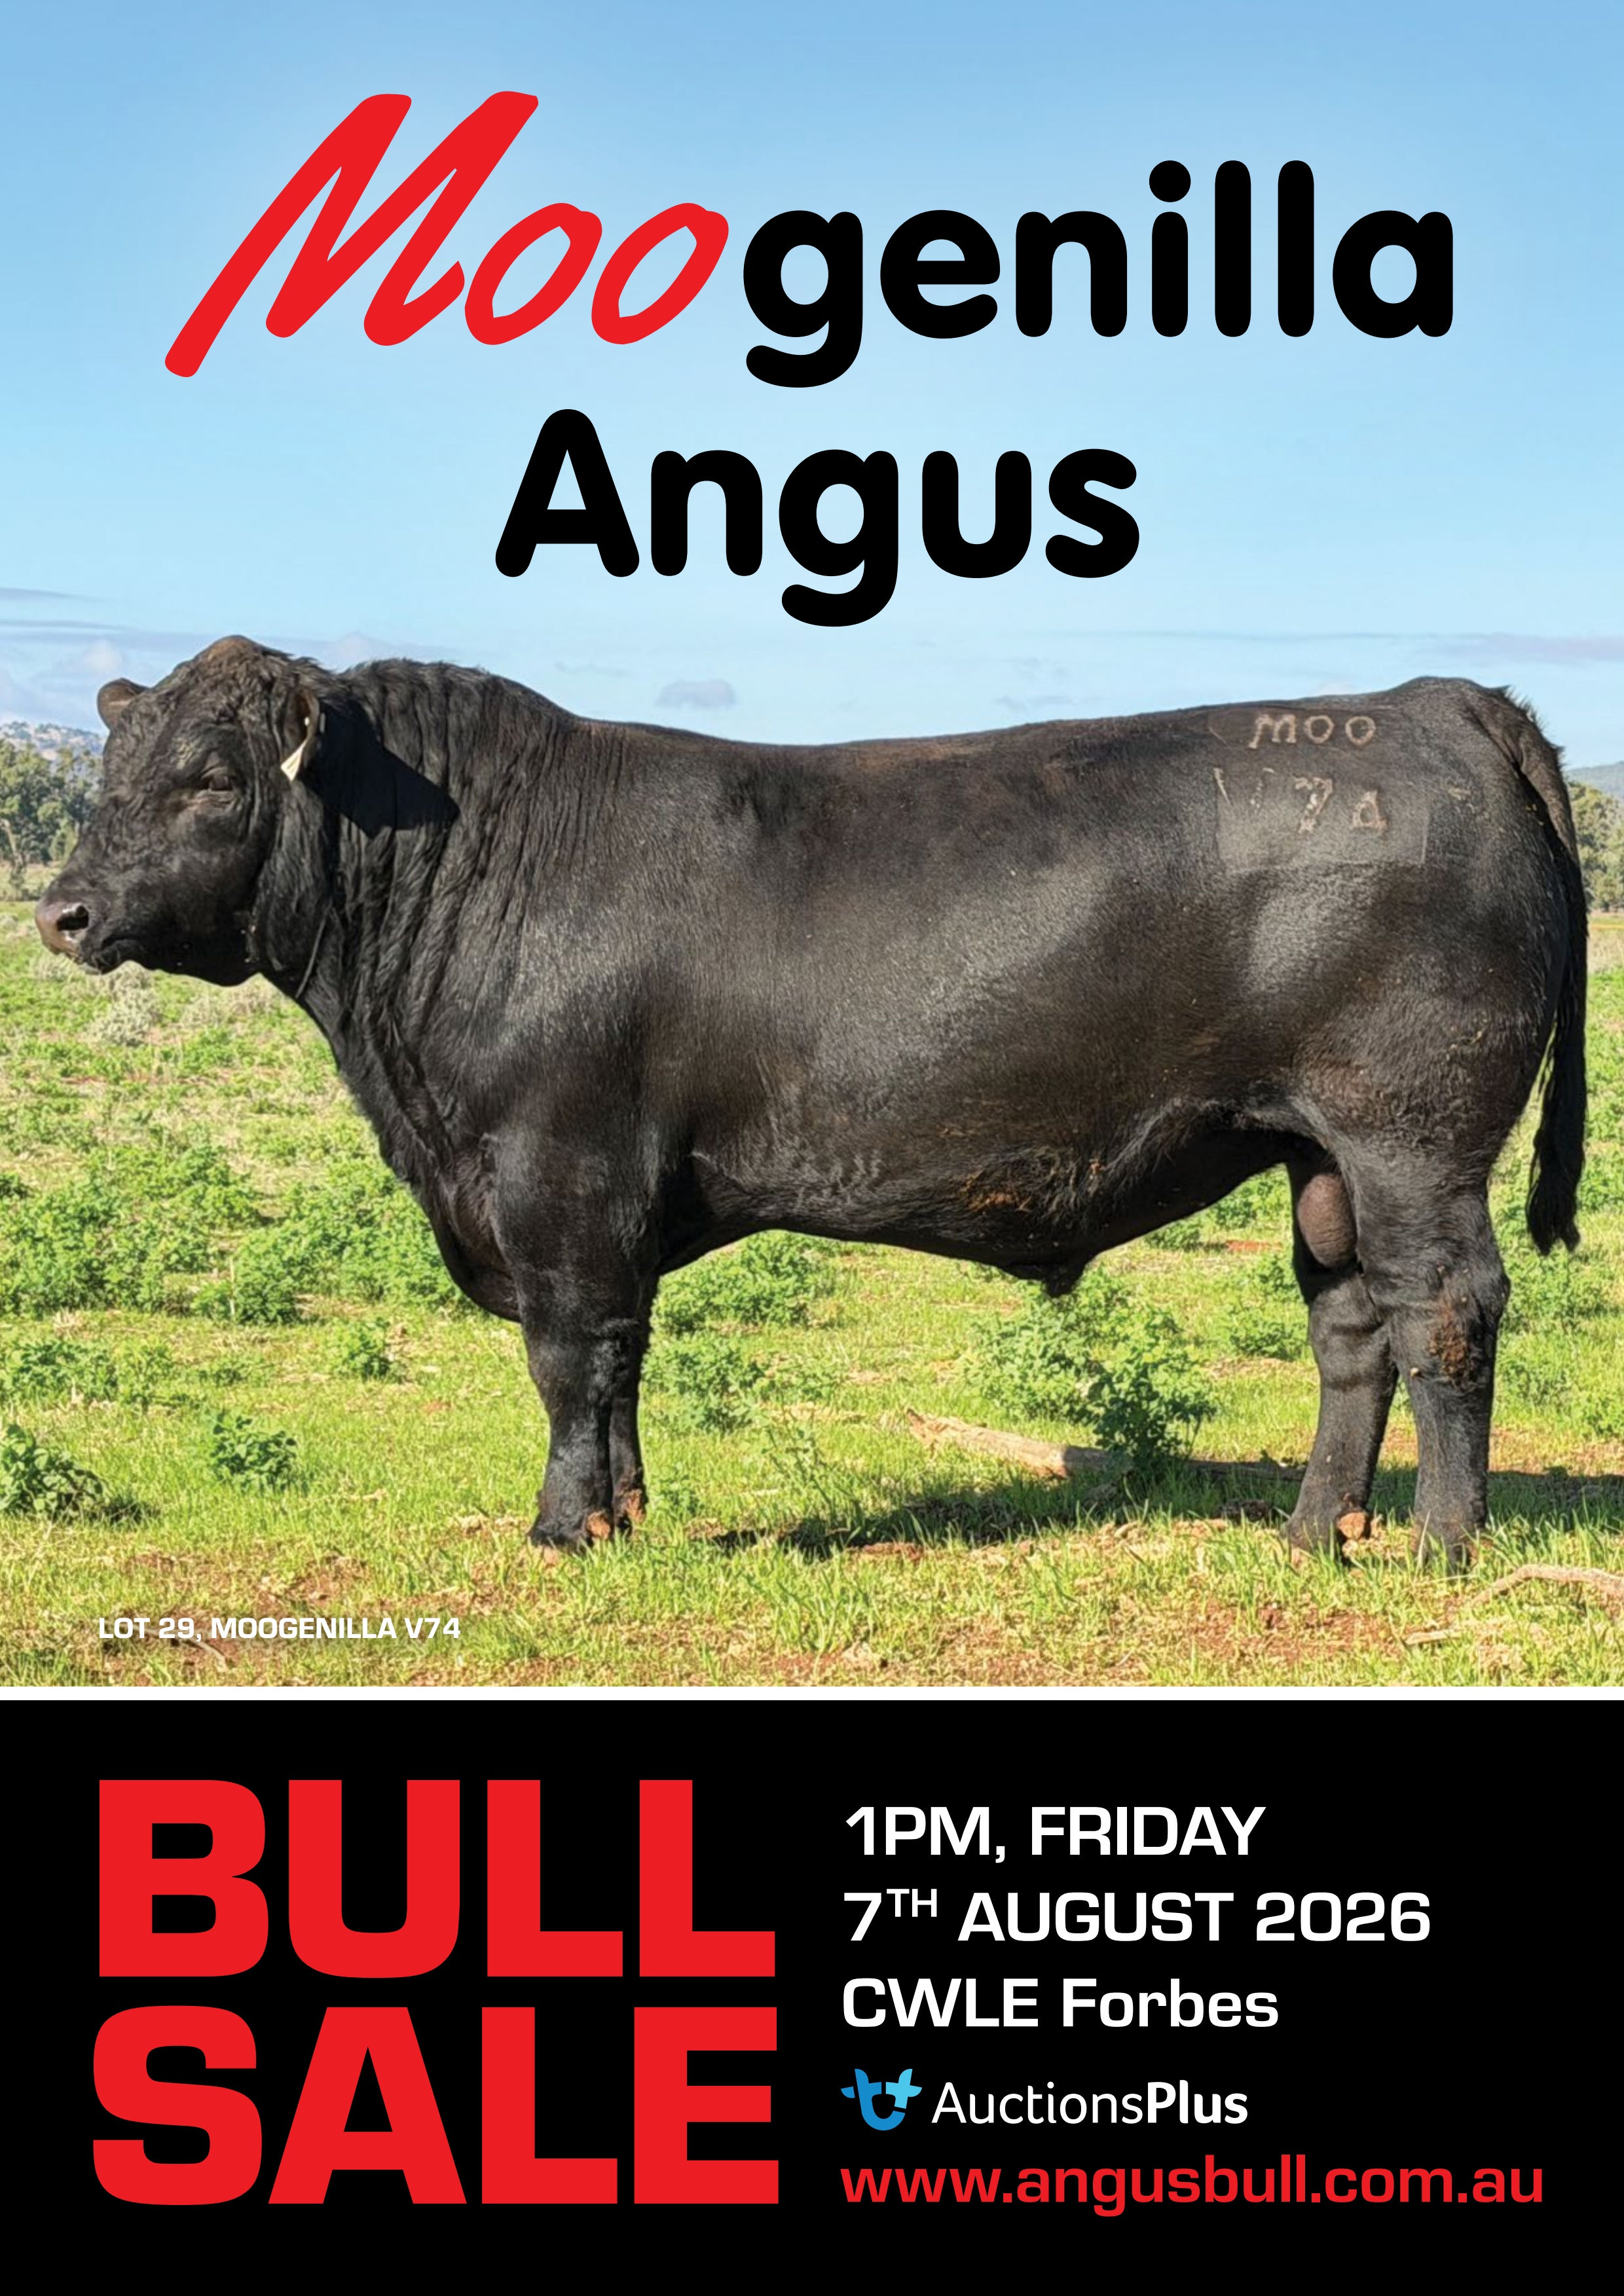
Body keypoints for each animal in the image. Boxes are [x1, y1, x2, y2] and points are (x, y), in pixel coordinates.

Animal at [36, 640, 1586, 1568]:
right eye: (110, 770)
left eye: (211, 777)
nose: (62, 911)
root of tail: (1429, 699)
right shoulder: (601, 1208)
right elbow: (622, 1364)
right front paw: (627, 1516)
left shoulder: (559, 1176)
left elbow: (568, 1361)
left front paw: (560, 1532)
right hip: (1312, 1152)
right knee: (1352, 1329)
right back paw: (1313, 1532)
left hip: (1410, 1138)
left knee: (1445, 1310)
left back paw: (1443, 1542)